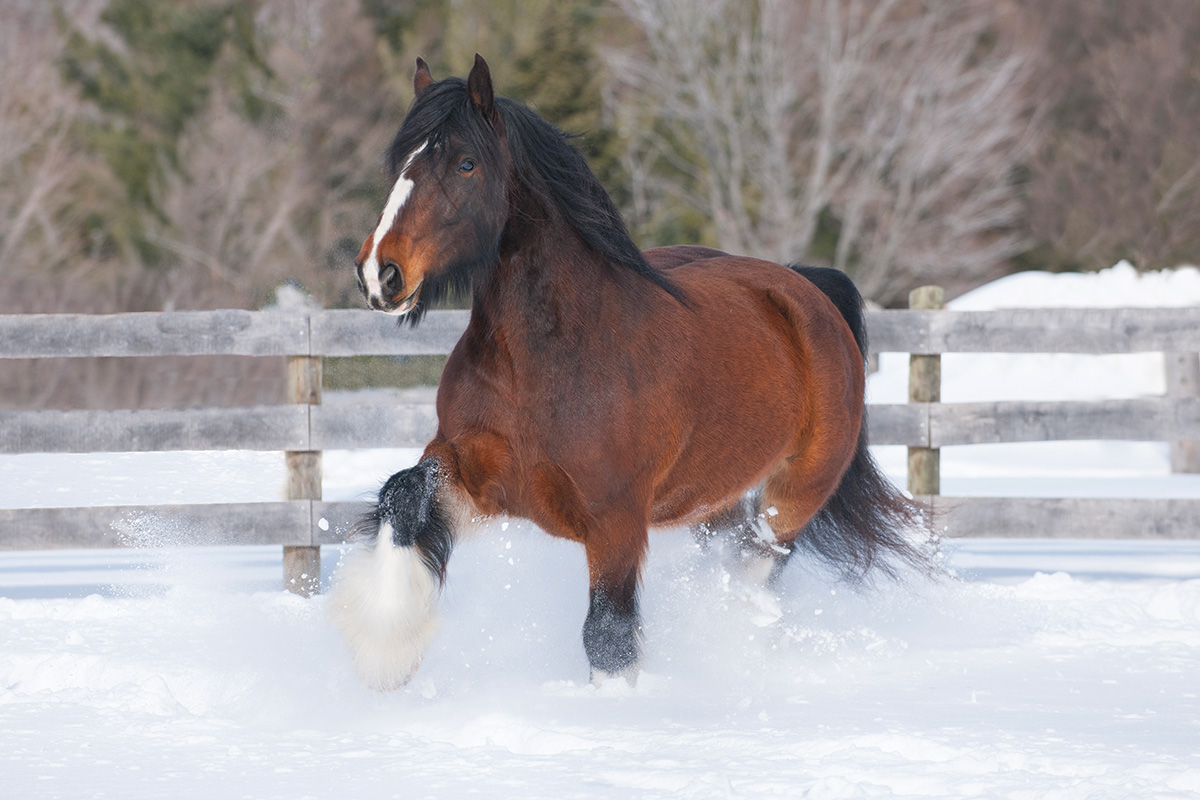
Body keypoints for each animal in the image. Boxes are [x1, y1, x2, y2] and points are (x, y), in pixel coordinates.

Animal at [331, 54, 926, 695]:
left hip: (793, 497)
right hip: (710, 502)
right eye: (400, 162)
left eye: (465, 162)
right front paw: (387, 649)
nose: (380, 274)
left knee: (756, 567)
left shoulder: (615, 520)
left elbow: (608, 636)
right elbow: (402, 497)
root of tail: (804, 288)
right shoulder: (476, 477)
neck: (546, 362)